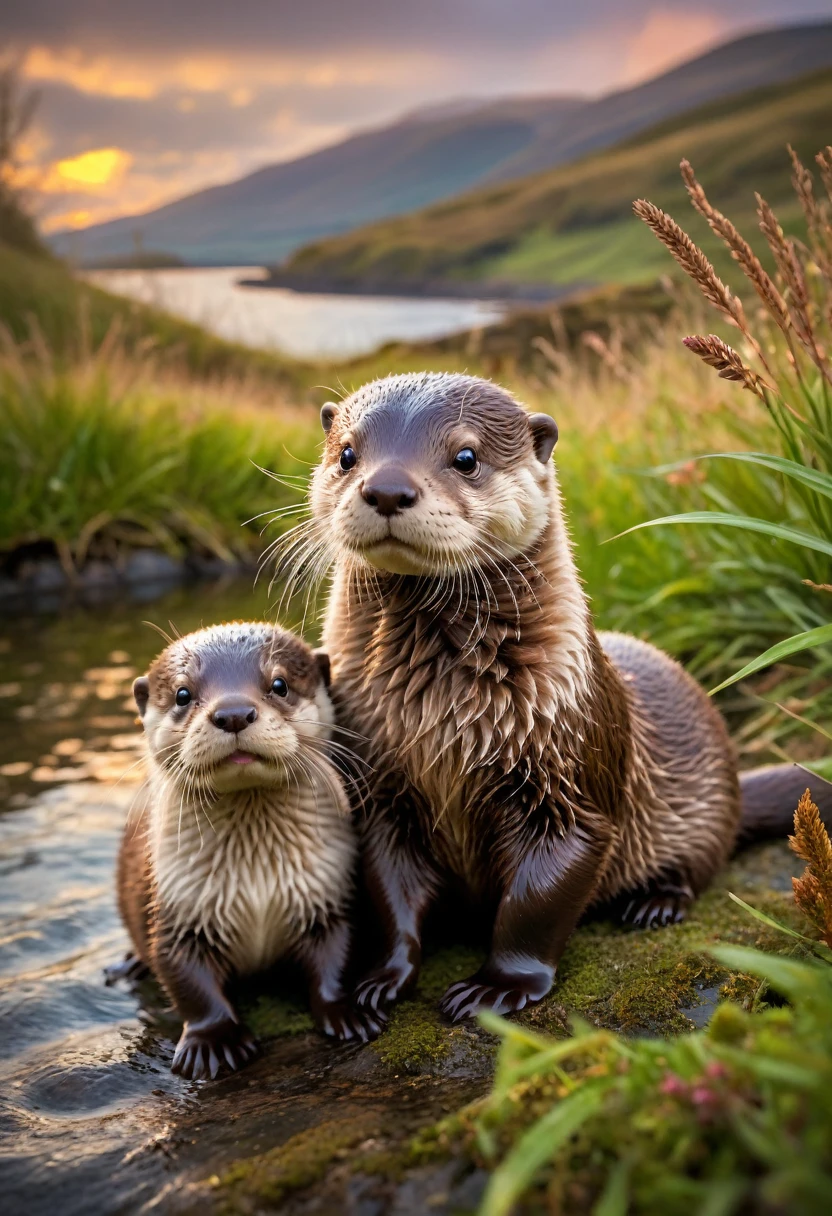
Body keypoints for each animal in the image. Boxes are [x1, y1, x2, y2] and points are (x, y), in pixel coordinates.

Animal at [108, 622, 379, 1079]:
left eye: (279, 684)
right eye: (182, 694)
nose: (233, 713)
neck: (258, 885)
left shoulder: (328, 891)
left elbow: (336, 959)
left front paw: (347, 1011)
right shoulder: (178, 909)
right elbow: (188, 982)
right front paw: (212, 1042)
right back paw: (128, 965)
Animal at [299, 374, 832, 1021]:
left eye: (466, 457)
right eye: (348, 454)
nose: (386, 488)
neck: (437, 723)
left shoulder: (567, 778)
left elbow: (537, 901)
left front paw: (499, 986)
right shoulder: (379, 786)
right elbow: (389, 894)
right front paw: (379, 982)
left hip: (704, 809)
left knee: (702, 861)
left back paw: (655, 903)